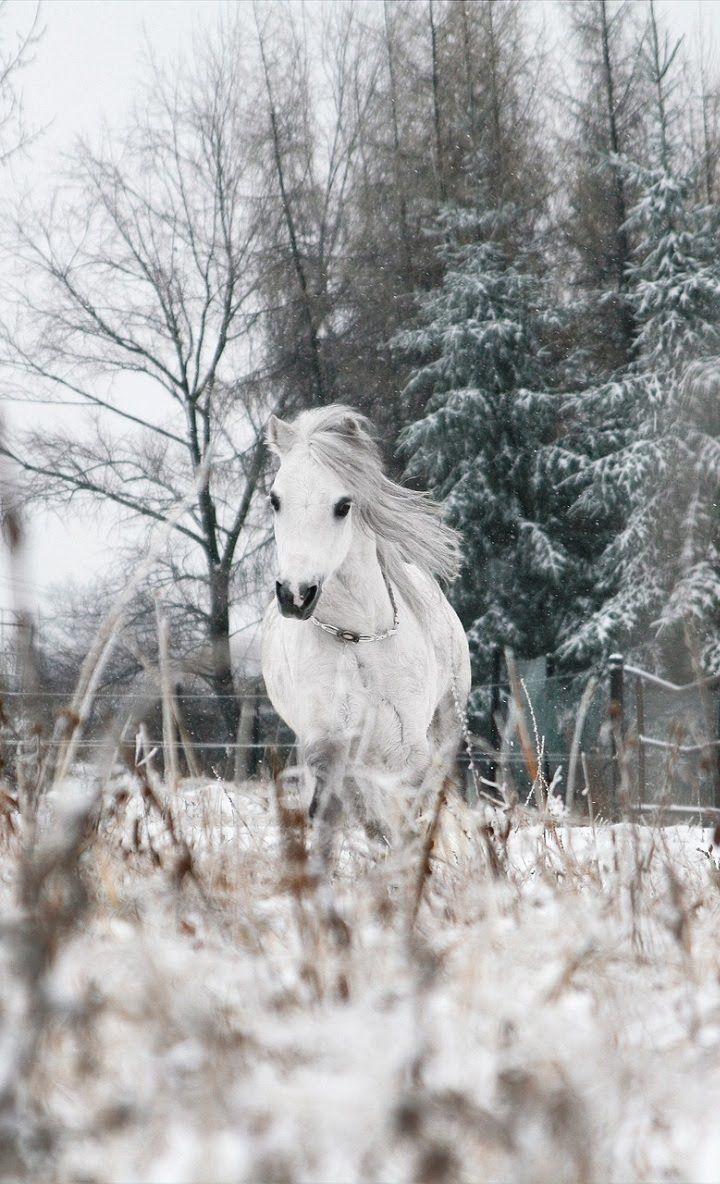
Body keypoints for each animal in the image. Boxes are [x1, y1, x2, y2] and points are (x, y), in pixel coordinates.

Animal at [261, 407, 468, 852]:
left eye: (343, 505)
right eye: (275, 499)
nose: (296, 595)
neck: (357, 639)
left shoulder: (409, 747)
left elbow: (407, 811)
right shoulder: (328, 741)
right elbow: (341, 811)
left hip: (444, 724)